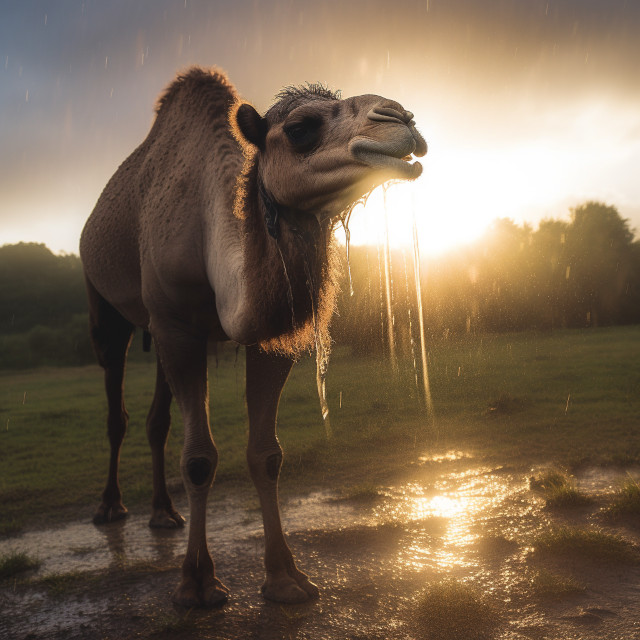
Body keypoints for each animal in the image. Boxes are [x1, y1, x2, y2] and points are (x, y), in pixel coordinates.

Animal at [79, 67, 424, 608]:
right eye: (301, 128)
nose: (401, 119)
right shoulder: (176, 324)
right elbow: (200, 459)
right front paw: (198, 584)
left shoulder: (265, 336)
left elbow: (267, 455)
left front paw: (286, 579)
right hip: (105, 304)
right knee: (117, 404)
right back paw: (111, 508)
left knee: (157, 420)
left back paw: (163, 513)